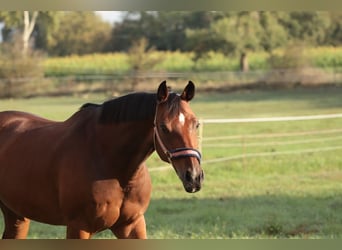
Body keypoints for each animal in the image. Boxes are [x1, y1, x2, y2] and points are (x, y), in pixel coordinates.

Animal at [0, 81, 203, 239]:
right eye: (163, 127)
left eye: (196, 123)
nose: (193, 177)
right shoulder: (79, 227)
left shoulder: (132, 225)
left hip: (16, 215)